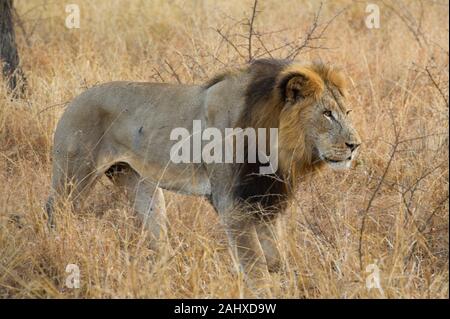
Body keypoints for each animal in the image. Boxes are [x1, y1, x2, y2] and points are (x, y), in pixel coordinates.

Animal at [45, 58, 362, 278]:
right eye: (327, 114)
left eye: (346, 112)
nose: (355, 145)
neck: (276, 145)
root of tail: (75, 100)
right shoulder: (232, 204)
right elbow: (256, 267)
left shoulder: (265, 199)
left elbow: (276, 259)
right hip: (75, 176)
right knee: (54, 212)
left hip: (138, 183)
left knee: (156, 235)